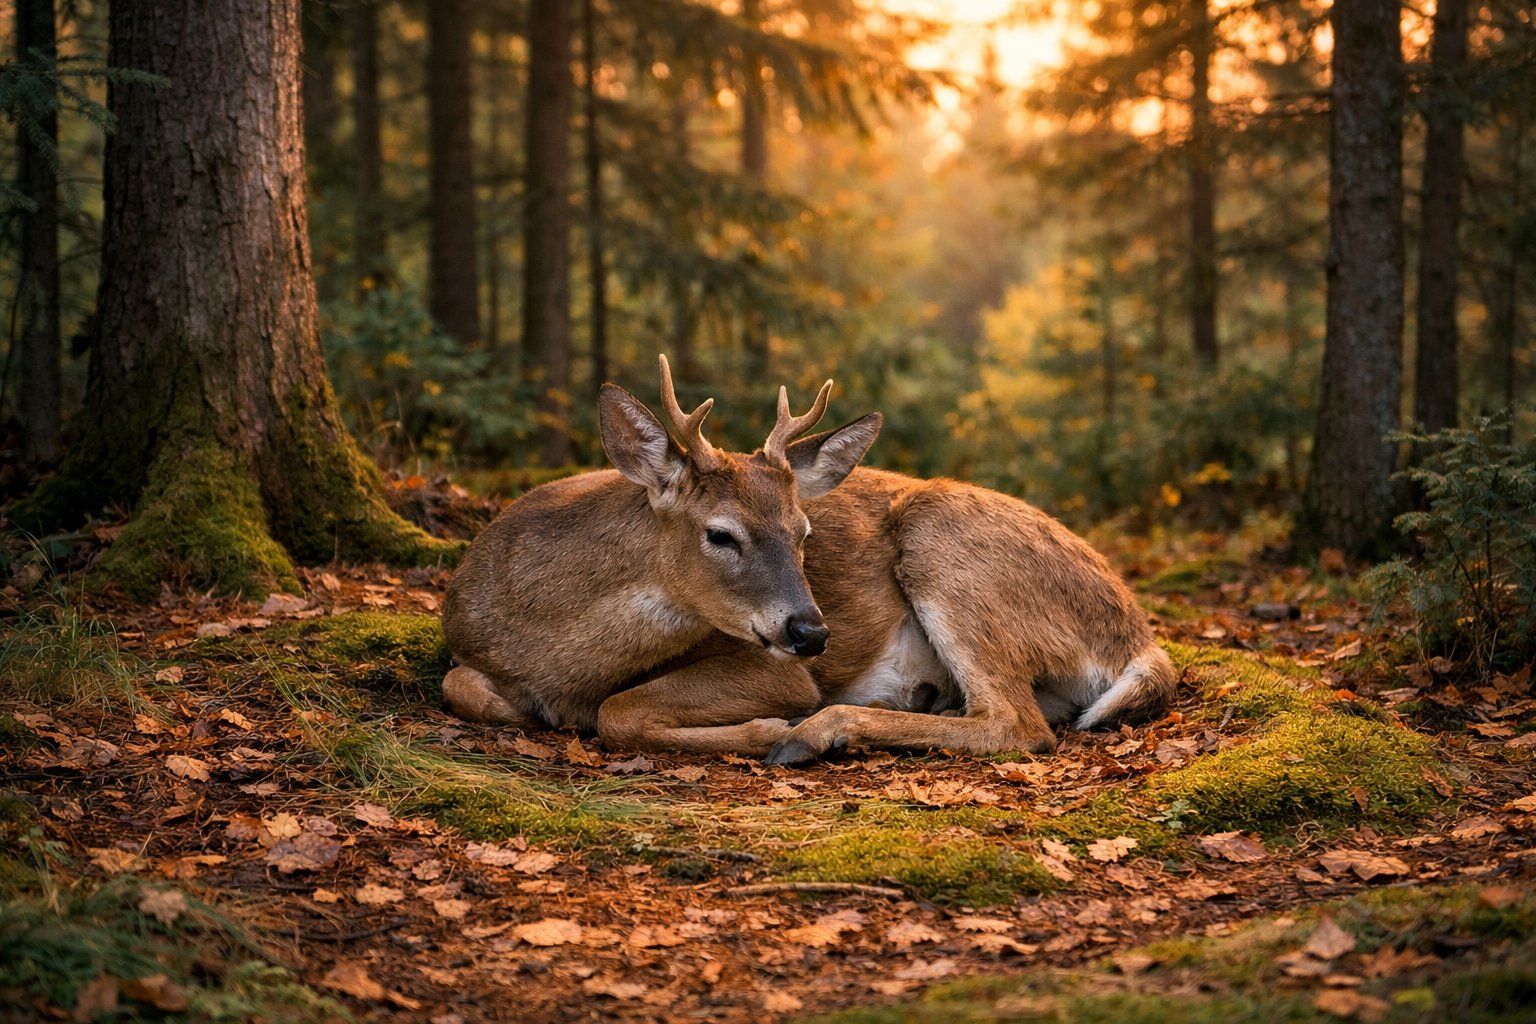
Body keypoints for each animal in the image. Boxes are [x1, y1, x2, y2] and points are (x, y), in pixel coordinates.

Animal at [440, 355, 1176, 764]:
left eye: (803, 531)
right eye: (721, 534)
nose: (812, 631)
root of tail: (1139, 636)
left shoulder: (771, 666)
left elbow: (617, 713)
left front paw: (765, 728)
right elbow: (462, 687)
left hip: (942, 541)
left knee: (1017, 724)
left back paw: (817, 734)